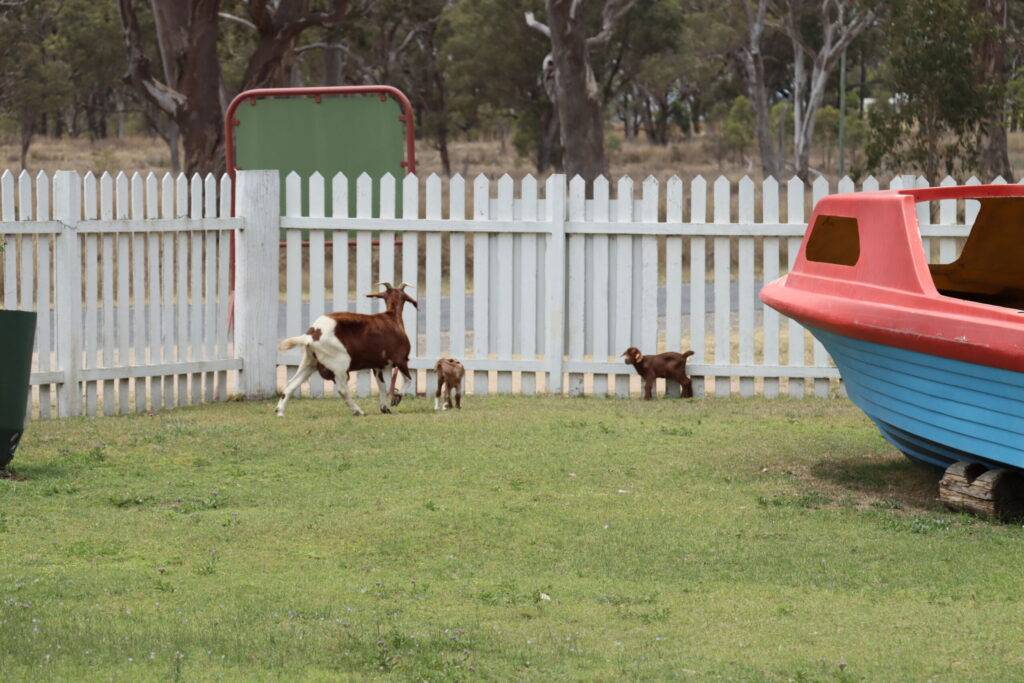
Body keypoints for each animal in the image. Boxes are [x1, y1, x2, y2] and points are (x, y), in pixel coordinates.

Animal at [276, 282, 415, 417]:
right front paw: (397, 398)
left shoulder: (377, 367)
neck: (392, 317)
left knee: (291, 384)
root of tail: (311, 335)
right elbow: (409, 380)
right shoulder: (401, 360)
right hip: (340, 364)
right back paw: (358, 411)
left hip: (310, 362)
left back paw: (280, 412)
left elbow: (382, 386)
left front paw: (384, 408)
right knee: (342, 390)